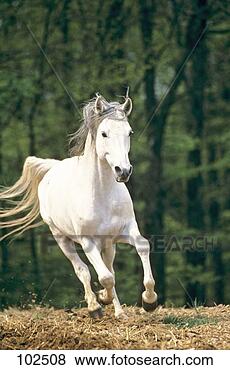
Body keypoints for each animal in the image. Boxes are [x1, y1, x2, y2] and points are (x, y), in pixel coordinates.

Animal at [0, 92, 157, 318]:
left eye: (129, 132)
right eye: (104, 134)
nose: (123, 171)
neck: (102, 194)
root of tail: (53, 167)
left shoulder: (125, 231)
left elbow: (142, 247)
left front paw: (149, 301)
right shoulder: (87, 241)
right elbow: (104, 277)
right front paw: (102, 299)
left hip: (108, 244)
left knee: (108, 267)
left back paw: (119, 311)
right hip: (62, 238)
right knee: (83, 270)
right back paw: (95, 306)